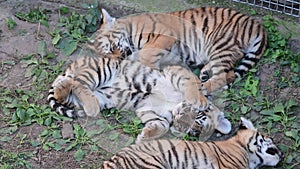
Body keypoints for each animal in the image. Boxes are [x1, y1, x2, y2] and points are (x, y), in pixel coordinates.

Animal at [47, 54, 231, 142]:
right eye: (198, 115)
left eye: (190, 128)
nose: (179, 116)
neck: (174, 105)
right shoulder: (175, 71)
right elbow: (193, 83)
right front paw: (200, 100)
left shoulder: (147, 108)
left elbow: (162, 124)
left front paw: (145, 136)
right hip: (102, 69)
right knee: (78, 83)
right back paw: (86, 102)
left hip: (100, 98)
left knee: (68, 93)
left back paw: (62, 88)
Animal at [88, 7, 266, 93]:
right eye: (109, 56)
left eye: (112, 47)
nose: (119, 58)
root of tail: (257, 25)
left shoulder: (166, 34)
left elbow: (146, 53)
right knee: (228, 71)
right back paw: (205, 73)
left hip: (219, 42)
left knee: (222, 76)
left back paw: (203, 88)